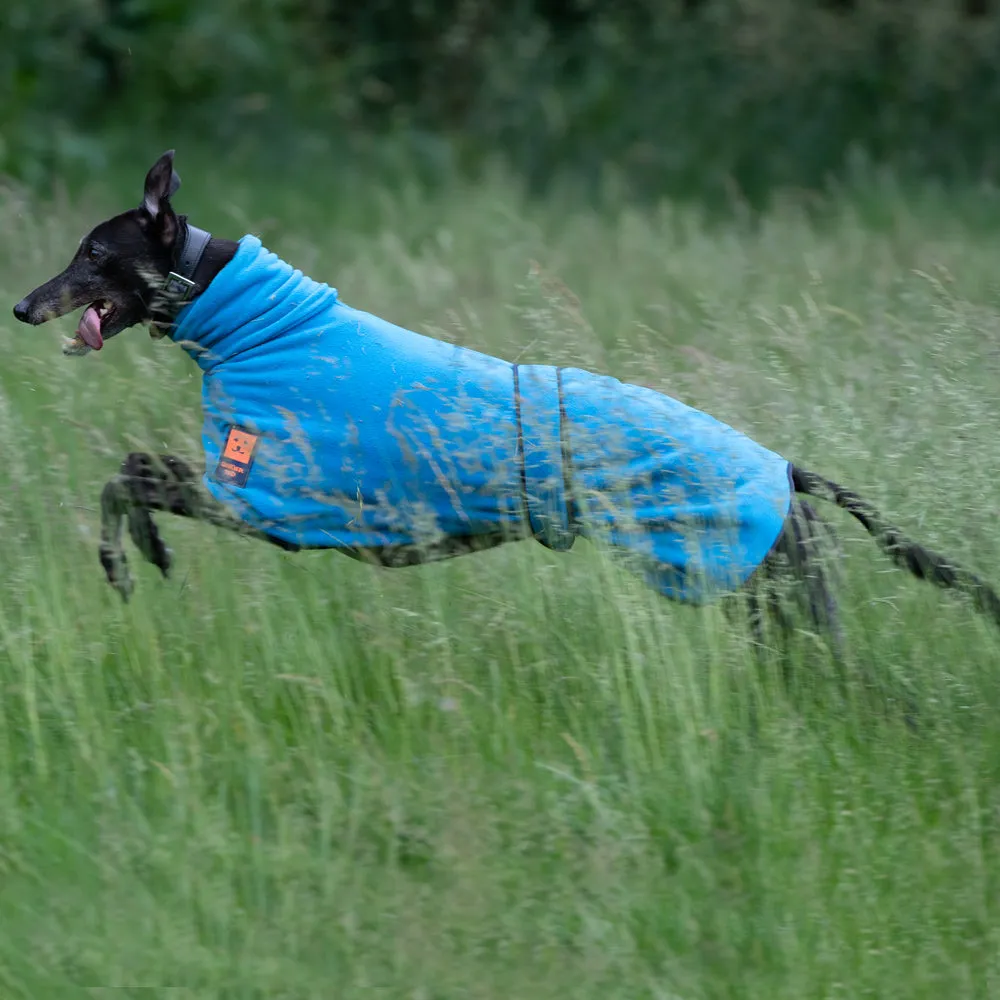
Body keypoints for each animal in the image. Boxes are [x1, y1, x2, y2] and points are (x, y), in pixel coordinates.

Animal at [13, 145, 1000, 656]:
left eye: (93, 254)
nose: (23, 305)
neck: (248, 316)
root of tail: (788, 469)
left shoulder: (261, 497)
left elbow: (129, 475)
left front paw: (133, 559)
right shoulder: (259, 499)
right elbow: (130, 471)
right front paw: (142, 555)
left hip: (770, 601)